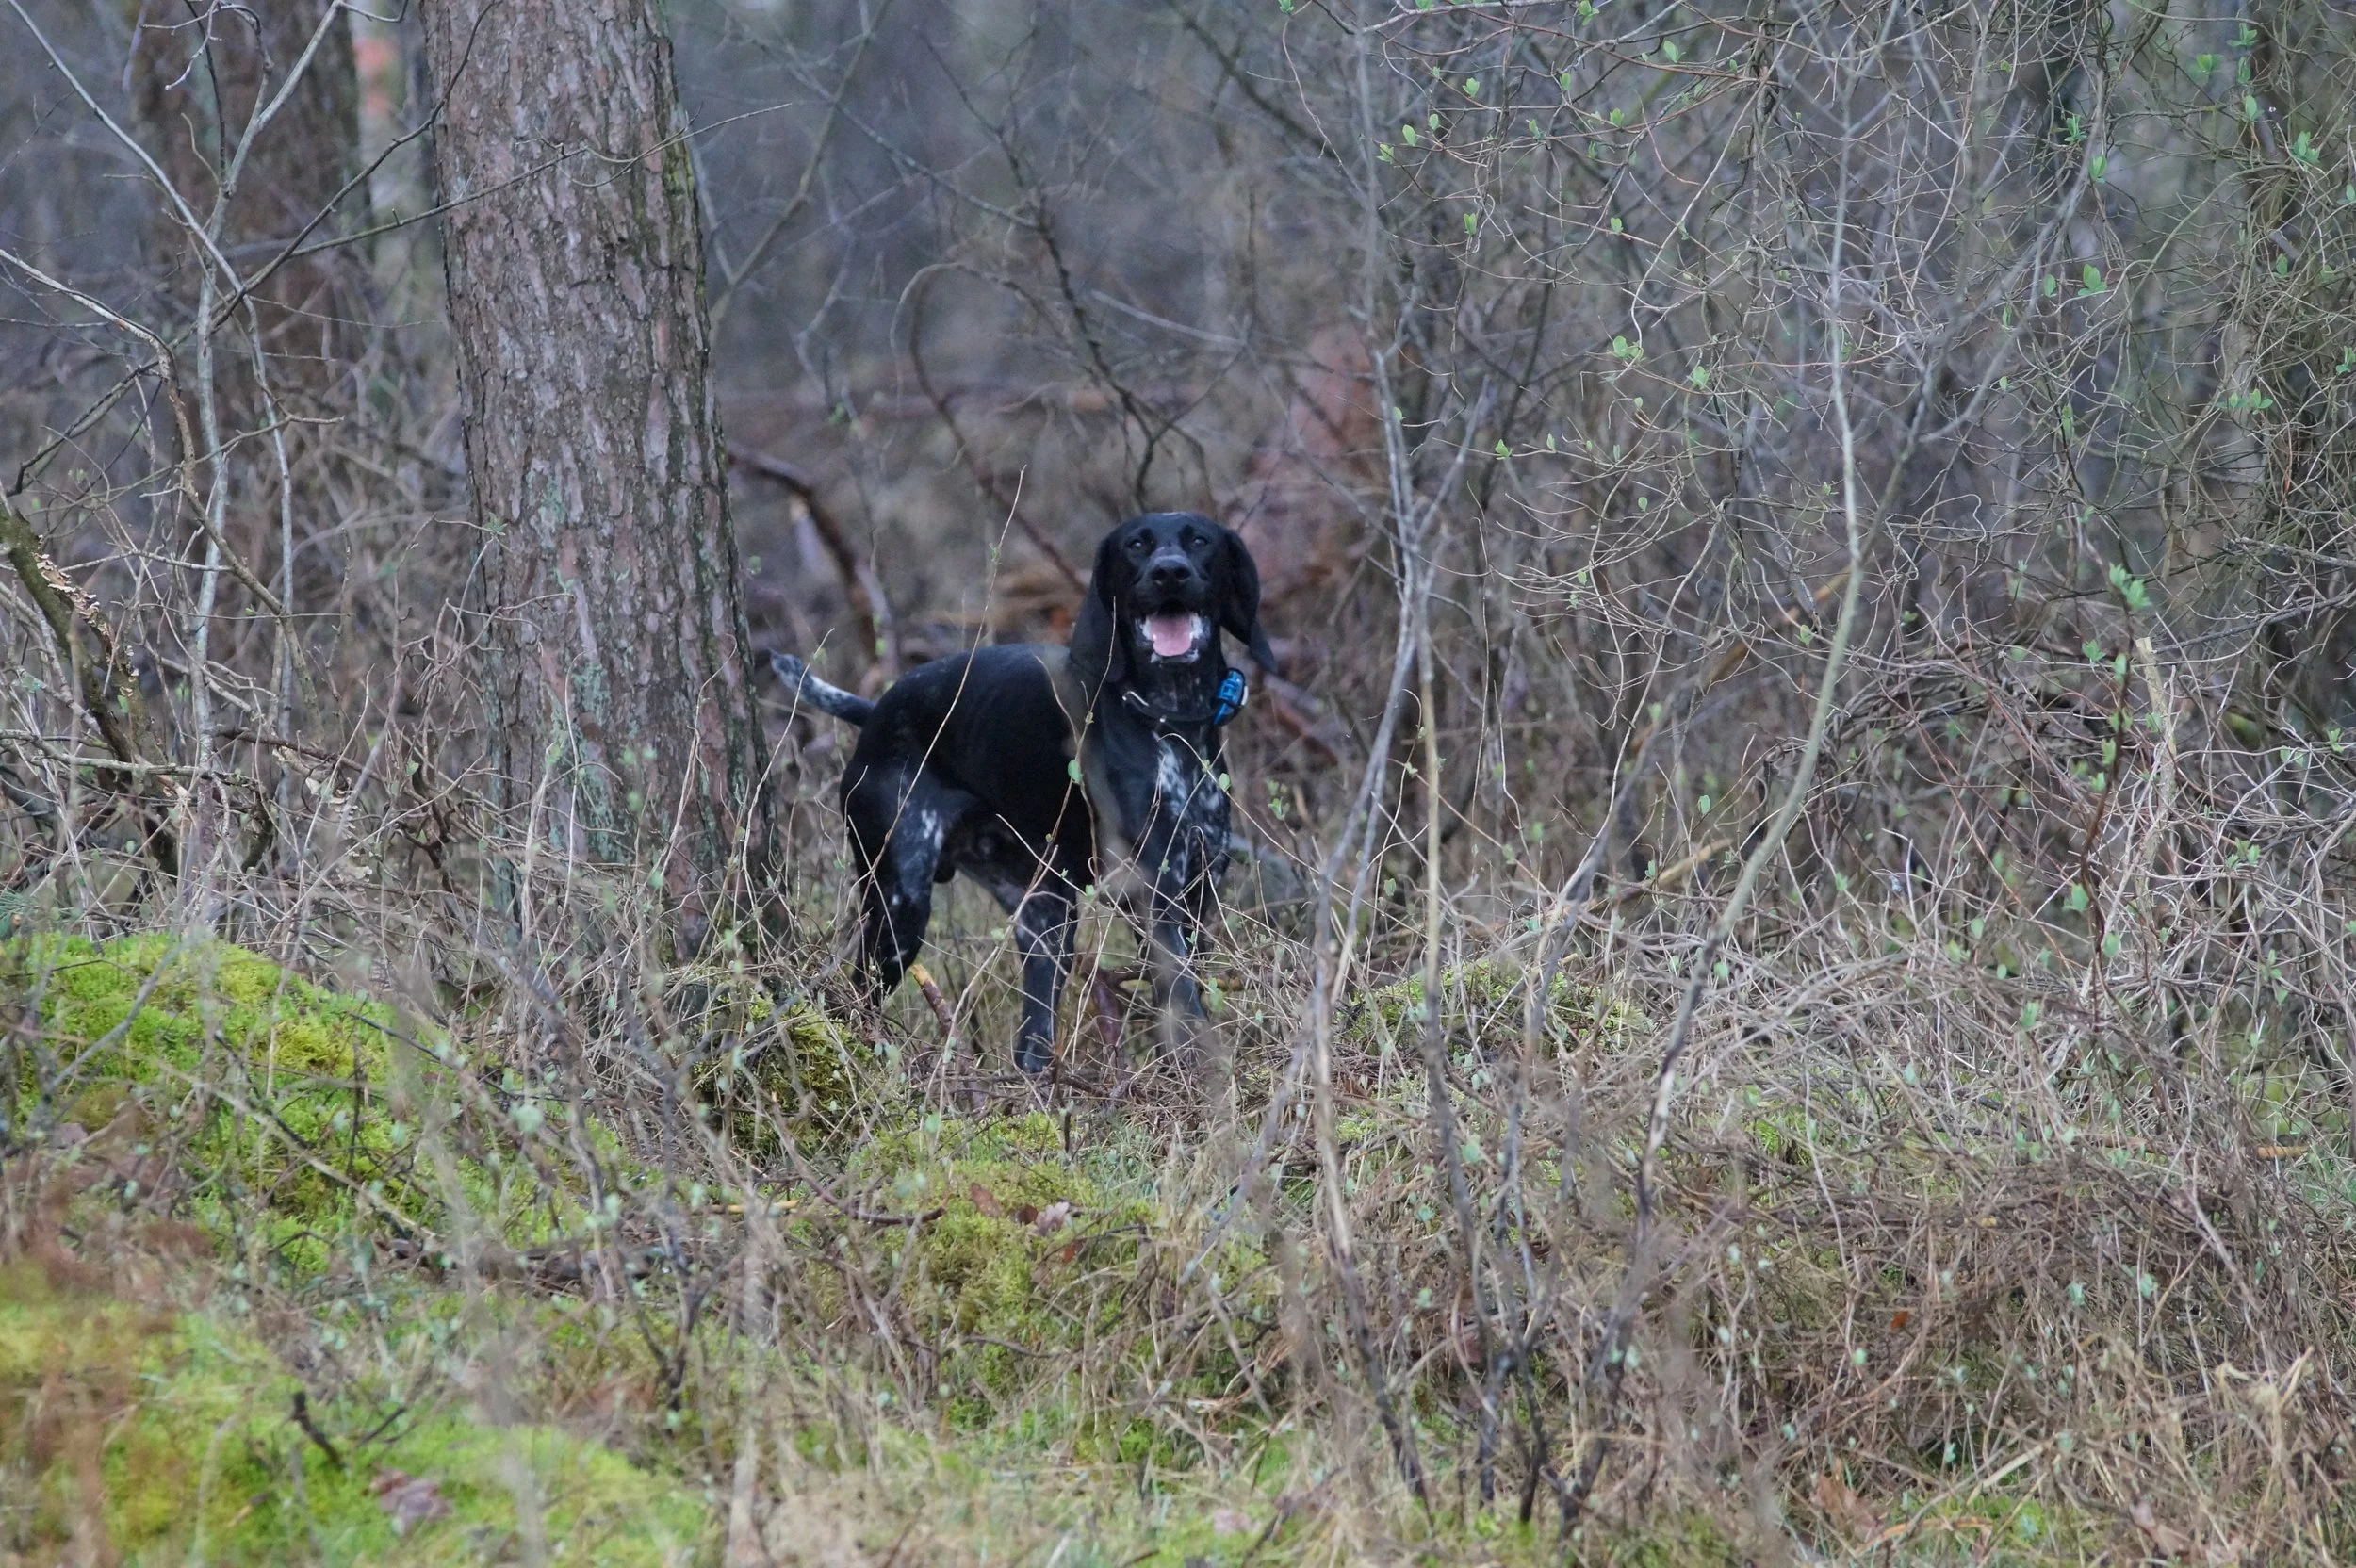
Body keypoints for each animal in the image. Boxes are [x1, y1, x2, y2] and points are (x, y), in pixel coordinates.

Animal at [772, 512, 1276, 1076]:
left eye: (1200, 541)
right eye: (1137, 545)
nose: (1169, 573)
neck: (1168, 719)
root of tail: (877, 712)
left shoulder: (1196, 897)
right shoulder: (1156, 896)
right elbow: (1184, 1006)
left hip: (1045, 920)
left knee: (1031, 1039)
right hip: (898, 907)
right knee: (857, 996)